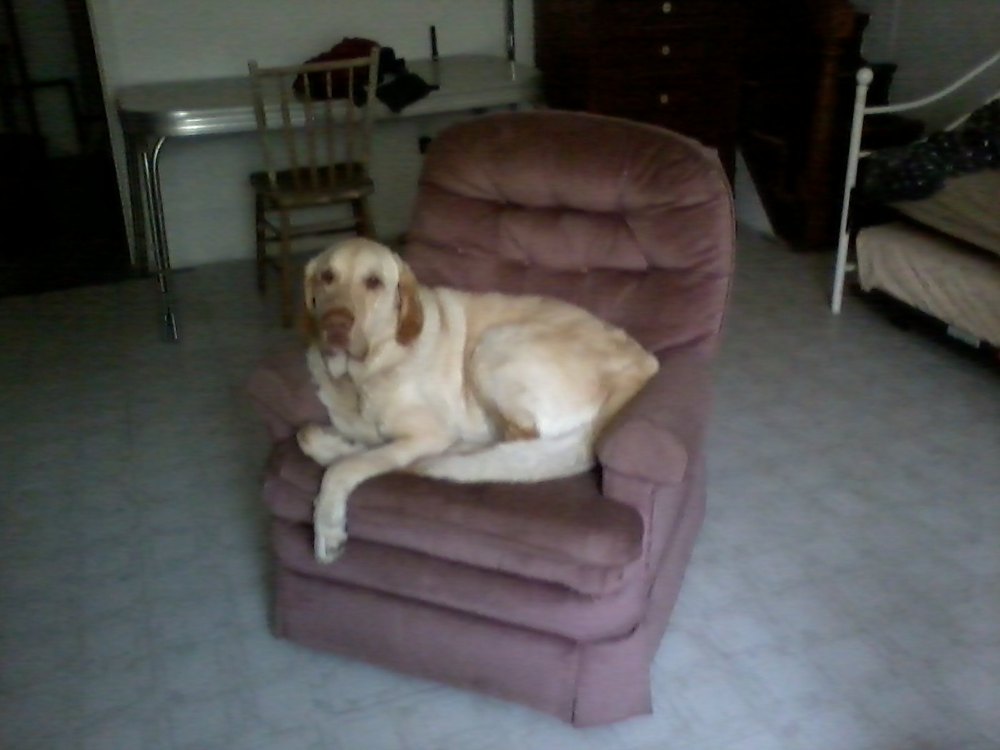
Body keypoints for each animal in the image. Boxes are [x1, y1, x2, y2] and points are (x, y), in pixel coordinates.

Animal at [297, 238, 659, 562]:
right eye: (327, 276)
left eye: (374, 282)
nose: (335, 324)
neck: (360, 375)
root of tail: (643, 364)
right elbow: (322, 439)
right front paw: (338, 445)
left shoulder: (427, 434)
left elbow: (347, 467)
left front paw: (327, 527)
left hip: (494, 346)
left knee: (507, 442)